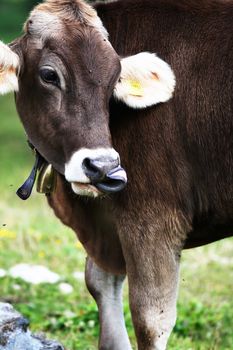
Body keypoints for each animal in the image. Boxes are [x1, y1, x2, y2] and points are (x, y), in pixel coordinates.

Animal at [0, 0, 233, 348]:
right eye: (48, 75)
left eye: (115, 79)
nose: (103, 167)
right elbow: (100, 287)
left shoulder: (153, 216)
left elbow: (151, 319)